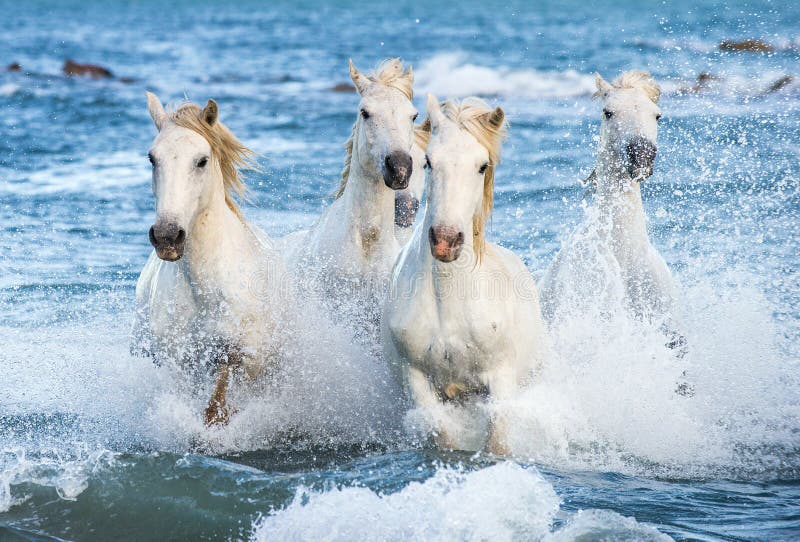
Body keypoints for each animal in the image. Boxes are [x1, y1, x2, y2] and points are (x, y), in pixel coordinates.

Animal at [131, 95, 290, 432]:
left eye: (202, 160)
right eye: (152, 158)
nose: (167, 236)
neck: (205, 292)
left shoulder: (245, 359)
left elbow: (219, 399)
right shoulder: (180, 365)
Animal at [382, 94, 552, 454]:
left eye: (482, 166)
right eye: (429, 162)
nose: (445, 240)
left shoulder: (500, 379)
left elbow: (498, 439)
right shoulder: (417, 381)